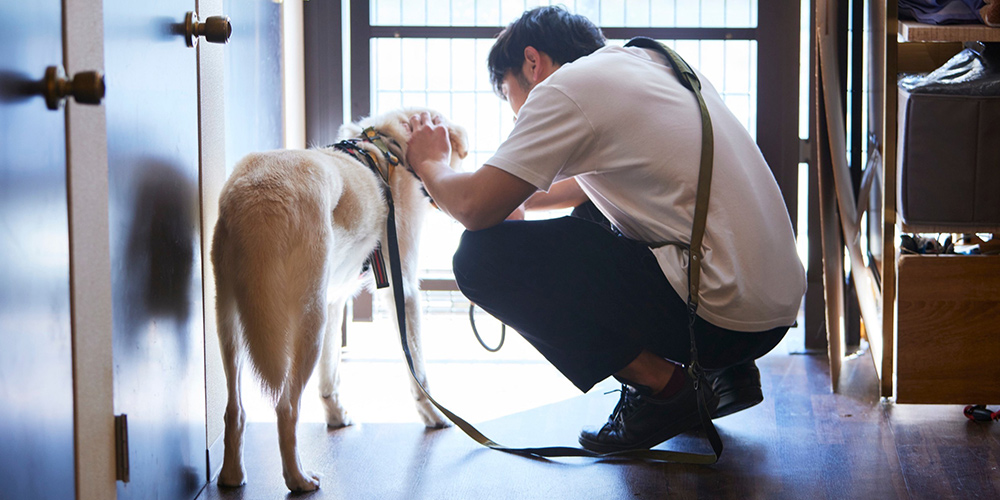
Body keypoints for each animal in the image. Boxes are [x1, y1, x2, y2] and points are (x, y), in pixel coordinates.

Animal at [212, 109, 468, 492]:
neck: (391, 147)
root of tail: (258, 194)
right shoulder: (403, 290)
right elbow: (418, 369)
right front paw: (434, 415)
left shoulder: (335, 302)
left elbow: (330, 375)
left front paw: (335, 416)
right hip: (308, 320)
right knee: (286, 408)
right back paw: (298, 478)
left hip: (230, 321)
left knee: (234, 409)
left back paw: (230, 475)